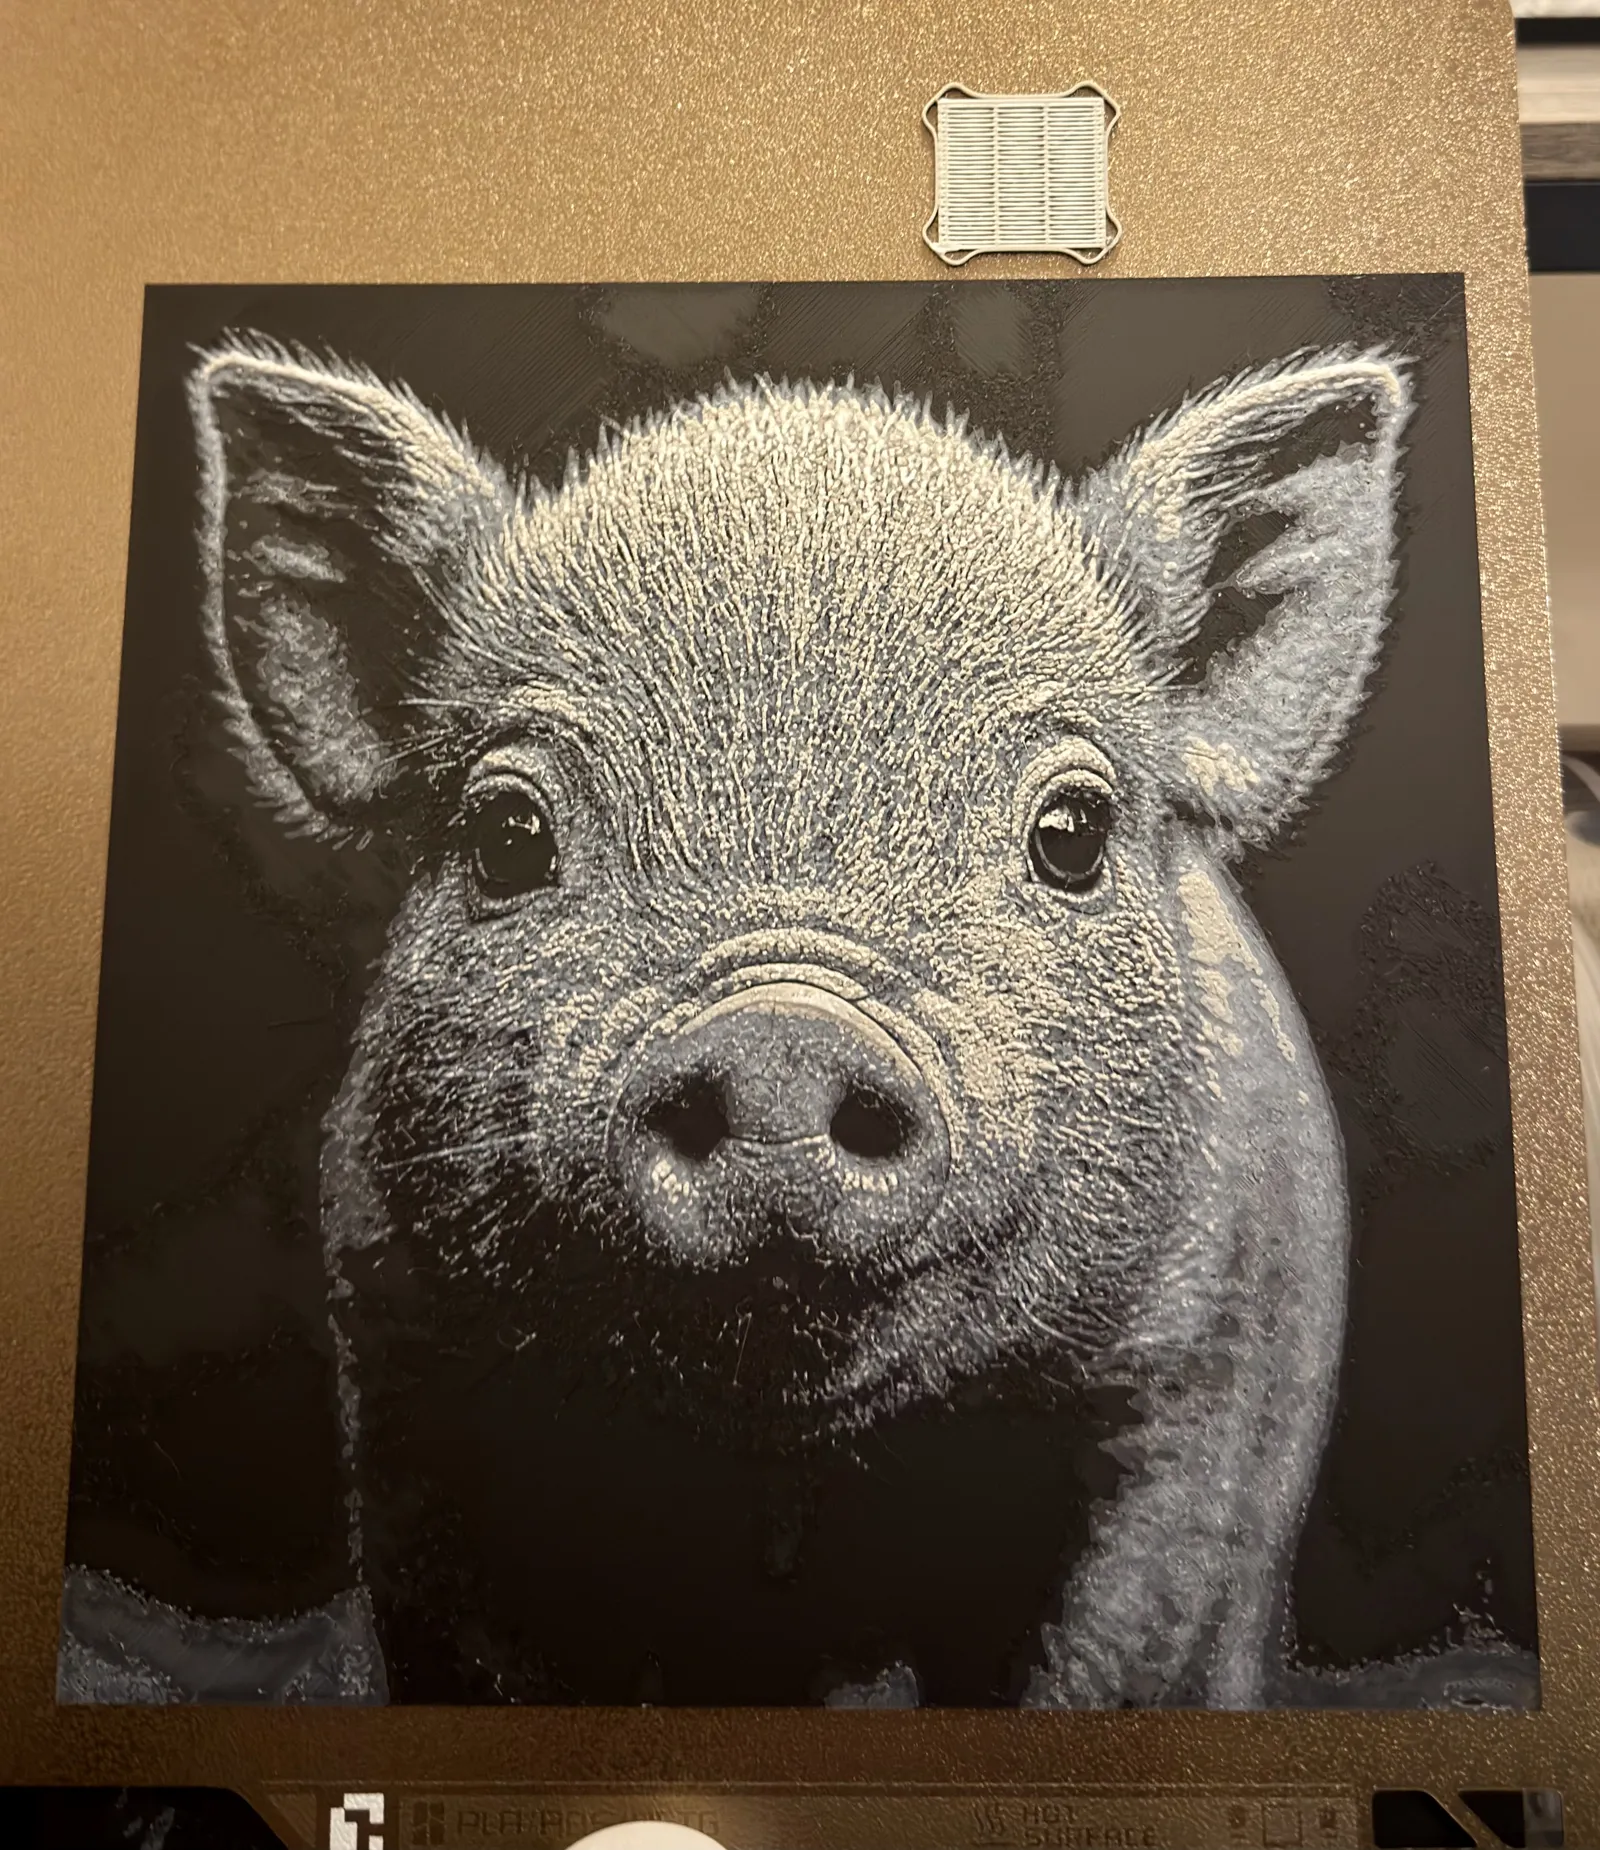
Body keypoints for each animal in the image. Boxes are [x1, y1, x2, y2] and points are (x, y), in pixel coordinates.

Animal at [185, 334, 1411, 1708]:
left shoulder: (1202, 1368)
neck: (797, 1488)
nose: (781, 1030)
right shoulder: (415, 1373)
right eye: (508, 832)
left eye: (1071, 831)